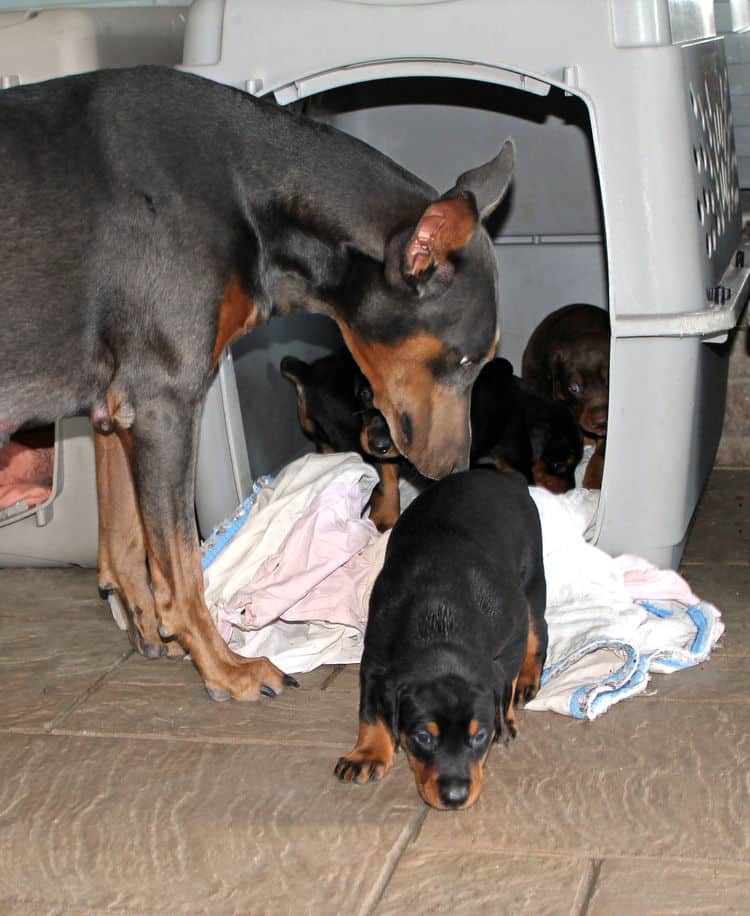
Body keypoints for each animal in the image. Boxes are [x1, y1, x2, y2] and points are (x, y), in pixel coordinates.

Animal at [0, 68, 516, 700]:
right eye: (462, 359)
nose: (456, 469)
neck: (244, 193)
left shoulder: (114, 407)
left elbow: (125, 543)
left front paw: (151, 631)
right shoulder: (163, 398)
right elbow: (182, 571)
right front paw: (226, 668)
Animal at [338, 468, 548, 812]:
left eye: (480, 736)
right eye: (423, 737)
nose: (455, 797)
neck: (441, 623)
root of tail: (500, 474)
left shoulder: (511, 639)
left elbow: (508, 679)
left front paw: (505, 720)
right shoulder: (375, 658)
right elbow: (369, 710)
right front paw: (367, 754)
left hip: (532, 578)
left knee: (539, 630)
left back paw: (529, 680)